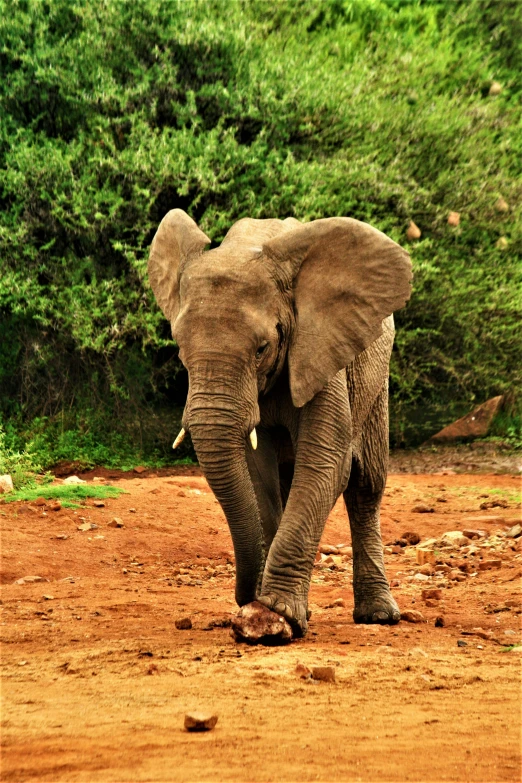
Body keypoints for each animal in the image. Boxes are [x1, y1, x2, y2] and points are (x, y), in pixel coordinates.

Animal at [147, 210, 410, 644]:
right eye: (180, 350)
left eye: (261, 348)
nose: (244, 595)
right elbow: (259, 473)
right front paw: (267, 611)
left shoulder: (320, 349)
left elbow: (326, 464)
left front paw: (275, 617)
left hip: (377, 379)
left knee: (366, 486)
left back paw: (379, 616)